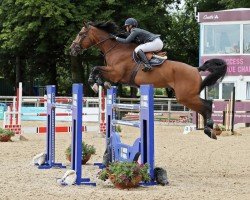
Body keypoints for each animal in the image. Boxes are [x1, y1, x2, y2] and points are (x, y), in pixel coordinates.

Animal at [70, 21, 227, 139]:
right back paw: (210, 129)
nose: (72, 49)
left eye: (81, 34)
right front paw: (102, 84)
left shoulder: (116, 74)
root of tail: (196, 69)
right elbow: (98, 71)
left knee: (206, 105)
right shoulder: (113, 73)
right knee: (204, 107)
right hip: (187, 97)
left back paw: (210, 128)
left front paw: (94, 84)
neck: (116, 49)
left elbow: (95, 68)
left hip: (186, 96)